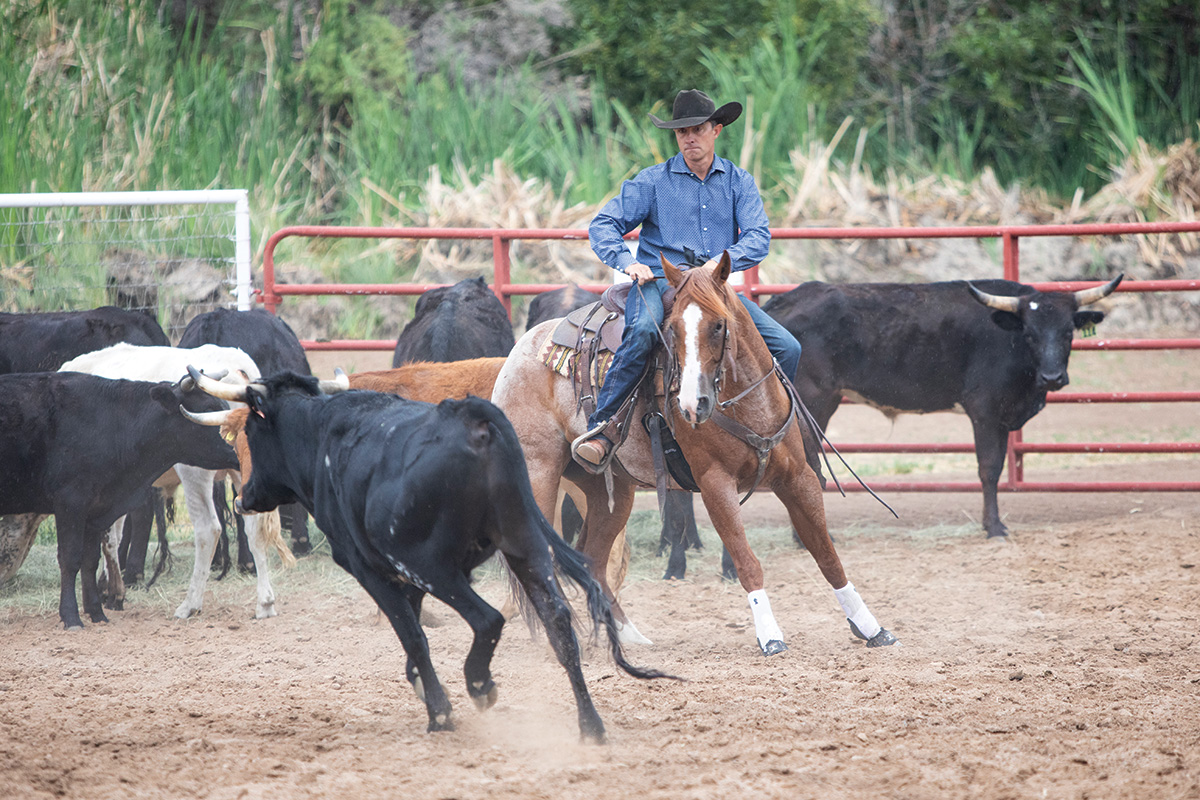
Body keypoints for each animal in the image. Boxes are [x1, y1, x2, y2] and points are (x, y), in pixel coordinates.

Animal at [187, 371, 676, 743]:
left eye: (251, 433)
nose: (244, 499)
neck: (323, 435)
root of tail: (474, 419)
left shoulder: (373, 568)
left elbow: (412, 635)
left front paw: (439, 709)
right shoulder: (406, 576)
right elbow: (414, 637)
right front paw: (422, 686)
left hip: (436, 567)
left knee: (487, 619)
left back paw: (479, 686)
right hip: (525, 548)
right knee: (560, 626)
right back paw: (590, 725)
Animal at [492, 253, 897, 652]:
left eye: (719, 325)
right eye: (671, 329)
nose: (692, 404)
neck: (745, 403)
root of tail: (521, 349)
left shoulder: (797, 478)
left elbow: (827, 556)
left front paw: (871, 627)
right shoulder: (716, 484)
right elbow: (747, 561)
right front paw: (769, 635)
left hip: (612, 491)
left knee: (593, 559)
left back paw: (627, 634)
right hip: (540, 476)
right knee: (542, 562)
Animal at [758, 275, 1123, 537]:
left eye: (1068, 333)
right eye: (1030, 333)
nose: (1053, 377)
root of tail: (784, 300)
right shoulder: (985, 412)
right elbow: (989, 468)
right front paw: (994, 528)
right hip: (815, 402)